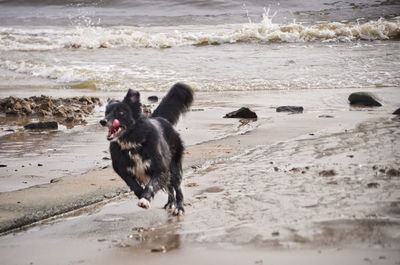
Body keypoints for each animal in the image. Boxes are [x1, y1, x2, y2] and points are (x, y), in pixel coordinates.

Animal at [100, 82, 194, 214]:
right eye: (106, 113)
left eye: (121, 112)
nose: (102, 121)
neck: (133, 141)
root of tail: (161, 118)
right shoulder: (122, 169)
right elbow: (134, 185)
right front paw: (142, 196)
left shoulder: (160, 168)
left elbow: (151, 184)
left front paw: (145, 199)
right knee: (169, 187)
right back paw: (170, 203)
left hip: (174, 166)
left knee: (177, 187)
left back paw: (179, 207)